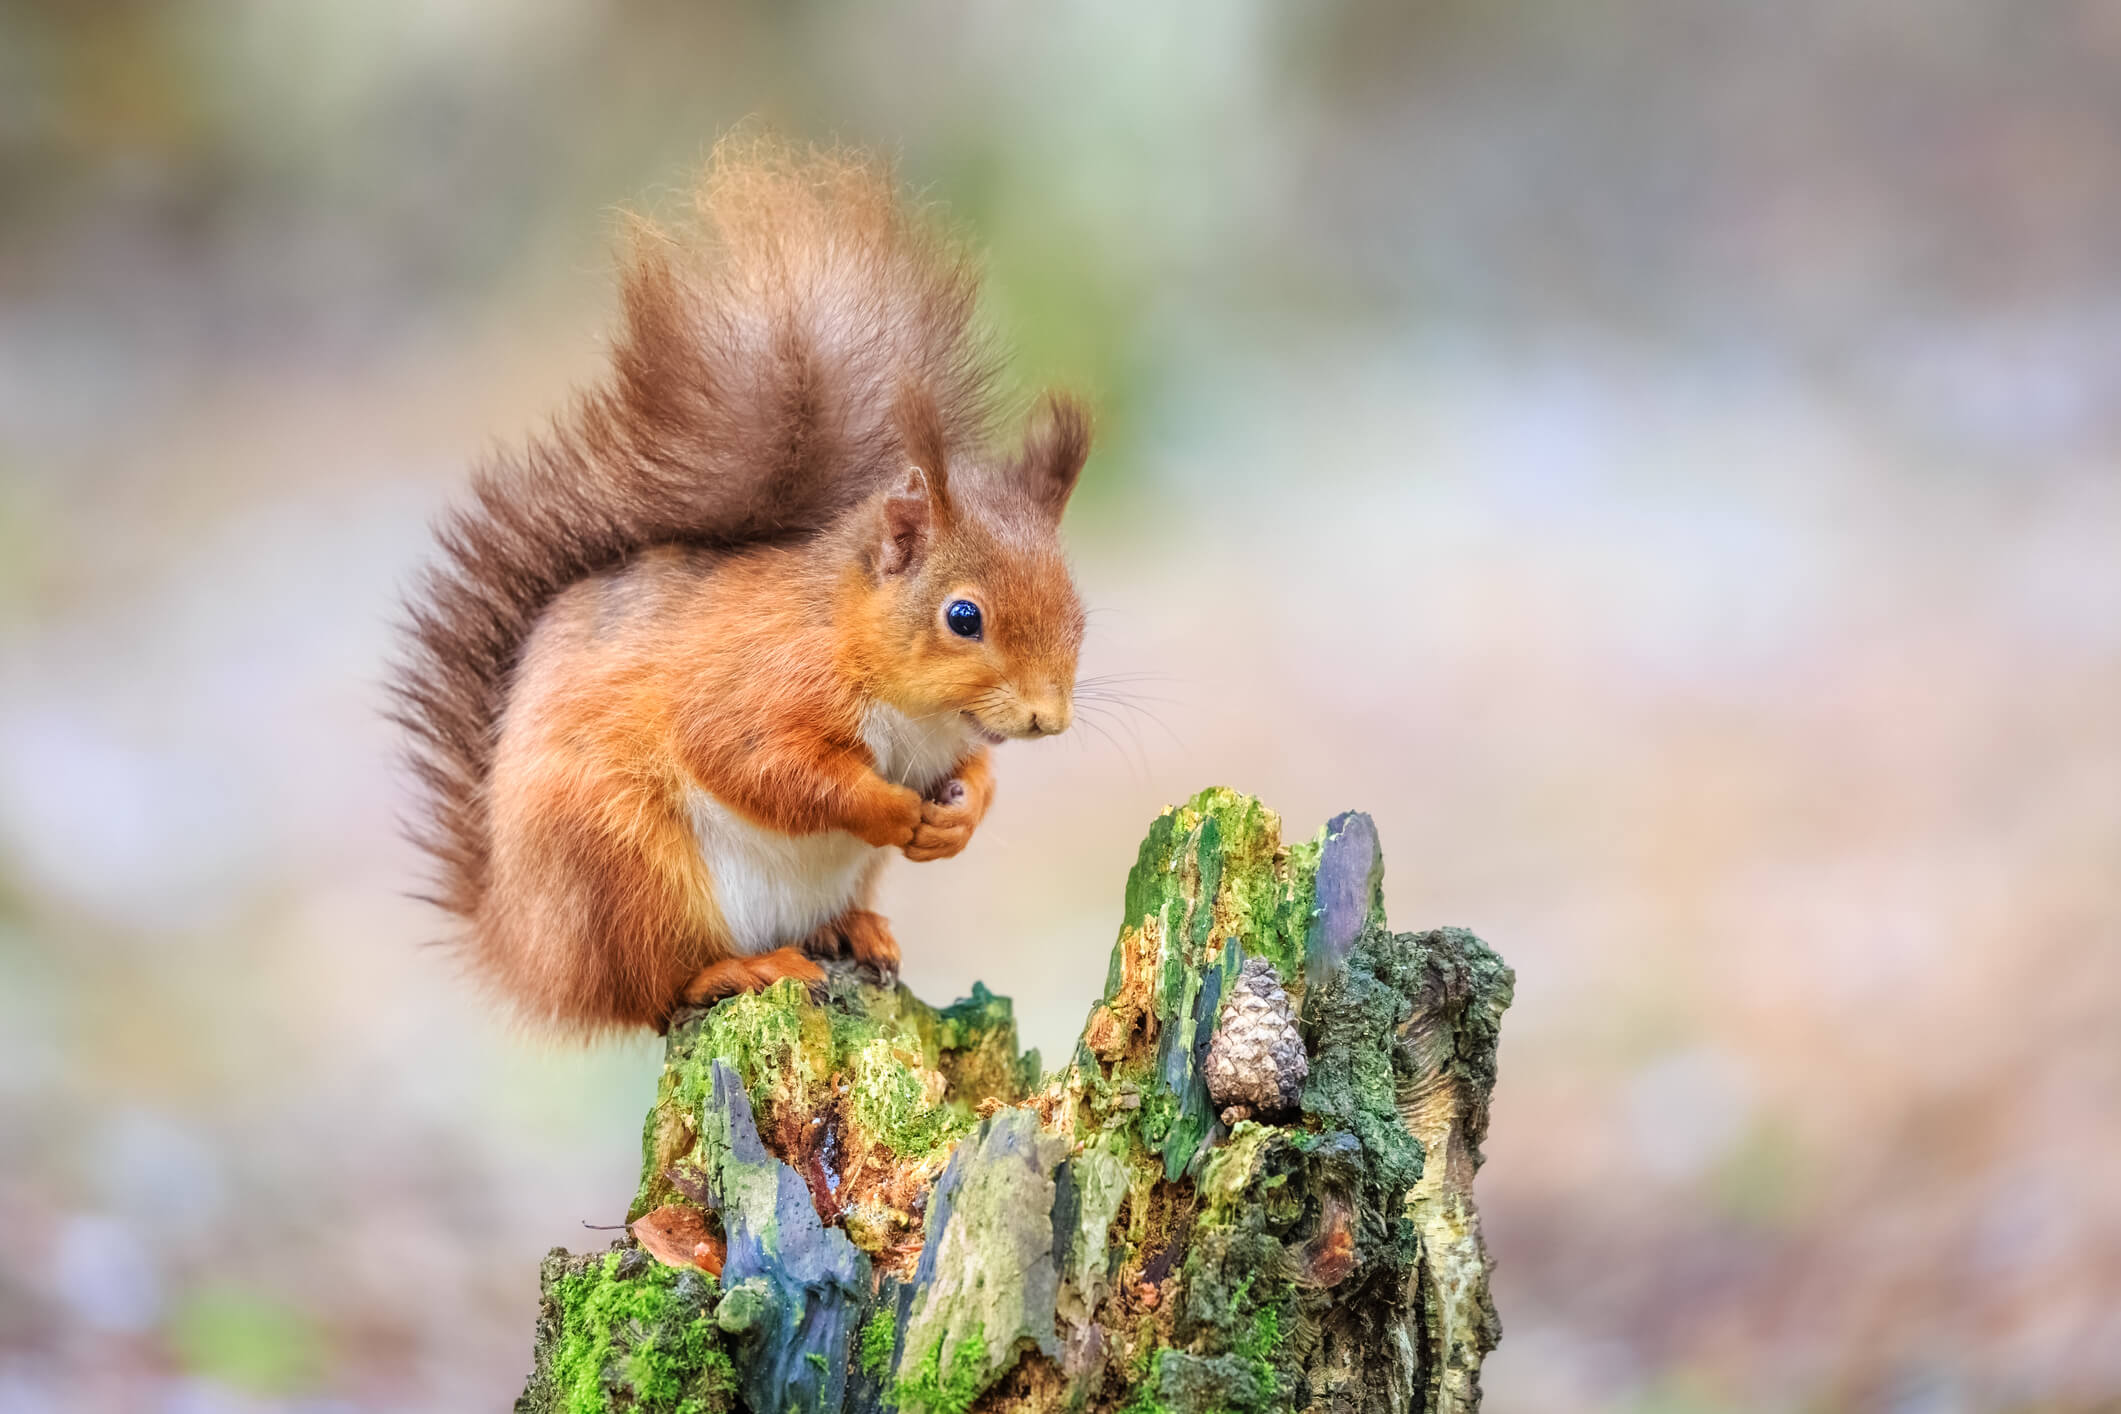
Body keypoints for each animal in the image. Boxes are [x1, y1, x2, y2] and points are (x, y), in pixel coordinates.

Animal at [394, 140, 1094, 1030]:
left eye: (1079, 611)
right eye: (962, 616)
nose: (1047, 718)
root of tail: (520, 946)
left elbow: (975, 774)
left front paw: (958, 815)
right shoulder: (759, 683)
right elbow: (760, 765)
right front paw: (893, 809)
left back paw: (849, 929)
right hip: (622, 868)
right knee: (651, 993)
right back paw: (739, 969)